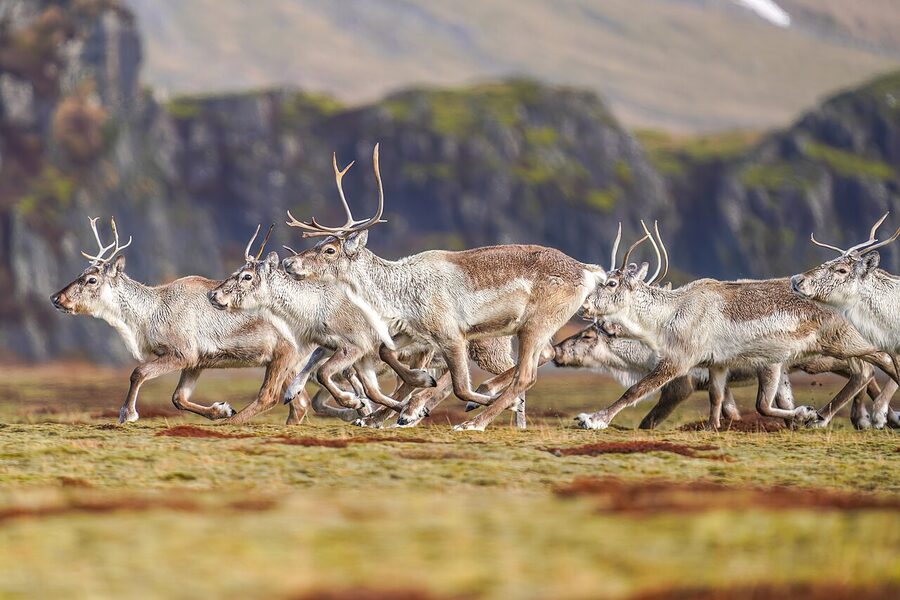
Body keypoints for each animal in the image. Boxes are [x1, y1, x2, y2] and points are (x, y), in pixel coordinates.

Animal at [50, 217, 310, 425]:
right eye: (80, 274)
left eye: (92, 280)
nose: (55, 298)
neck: (146, 317)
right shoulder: (197, 361)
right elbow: (178, 398)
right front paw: (221, 409)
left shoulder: (183, 352)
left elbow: (138, 371)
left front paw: (127, 414)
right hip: (290, 363)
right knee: (299, 402)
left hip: (283, 354)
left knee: (270, 396)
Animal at [280, 144, 606, 431]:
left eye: (330, 250)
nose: (288, 263)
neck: (399, 290)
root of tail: (588, 270)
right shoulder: (415, 333)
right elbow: (386, 353)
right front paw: (420, 382)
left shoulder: (451, 335)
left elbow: (460, 386)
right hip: (533, 328)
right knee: (543, 357)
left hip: (534, 325)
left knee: (526, 376)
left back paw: (475, 420)